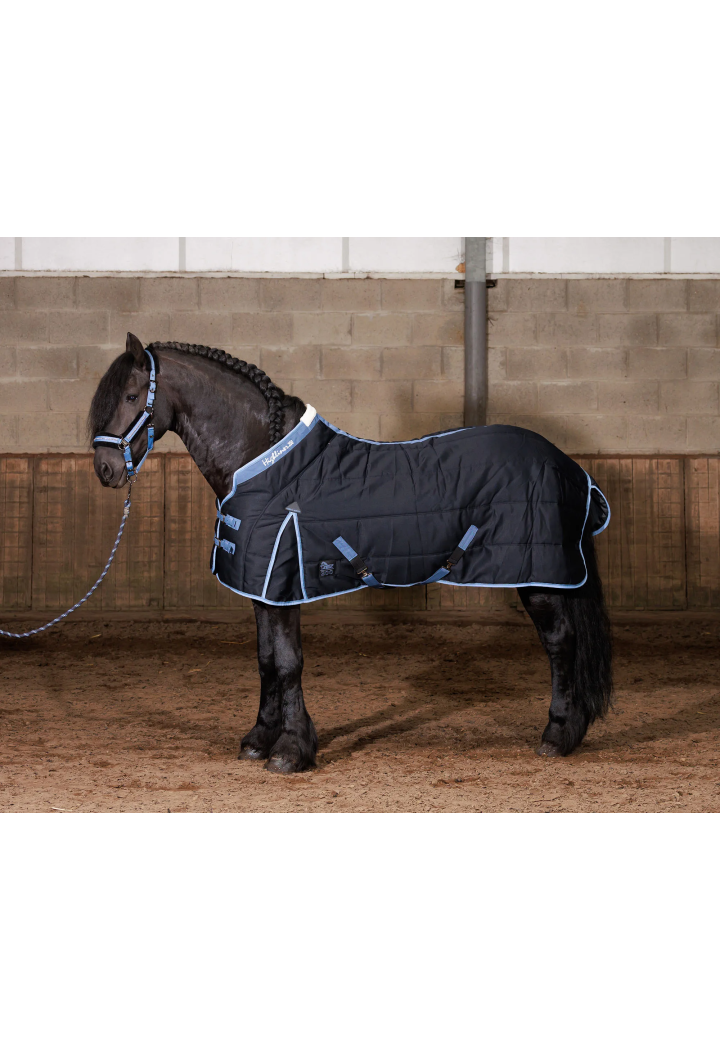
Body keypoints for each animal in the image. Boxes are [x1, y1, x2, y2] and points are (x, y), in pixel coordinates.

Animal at [89, 332, 613, 774]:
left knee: (560, 643)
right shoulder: (261, 587)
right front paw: (259, 739)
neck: (262, 464)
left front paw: (291, 750)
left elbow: (288, 662)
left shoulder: (283, 583)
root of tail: (564, 462)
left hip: (541, 574)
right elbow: (265, 660)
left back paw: (556, 736)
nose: (105, 470)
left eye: (132, 397)